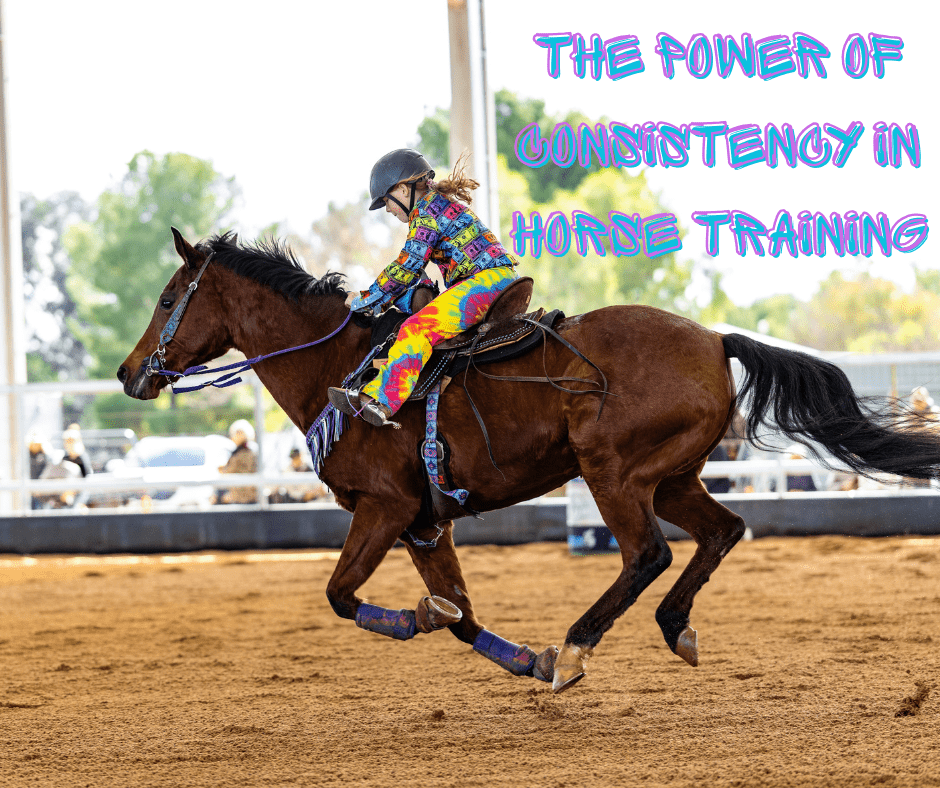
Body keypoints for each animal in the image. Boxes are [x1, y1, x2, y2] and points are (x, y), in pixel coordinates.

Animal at [118, 229, 940, 693]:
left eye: (165, 298)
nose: (131, 373)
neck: (342, 370)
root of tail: (714, 339)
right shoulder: (425, 525)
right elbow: (460, 616)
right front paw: (515, 656)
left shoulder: (385, 510)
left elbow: (342, 595)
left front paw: (436, 623)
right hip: (671, 477)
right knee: (722, 531)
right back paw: (671, 629)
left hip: (613, 472)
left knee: (647, 554)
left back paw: (578, 648)